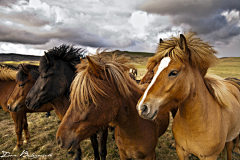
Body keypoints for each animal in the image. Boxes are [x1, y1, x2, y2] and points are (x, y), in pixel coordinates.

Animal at [136, 31, 240, 160]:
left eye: (174, 72)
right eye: (154, 71)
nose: (142, 108)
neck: (195, 125)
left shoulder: (209, 157)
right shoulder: (181, 151)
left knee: (229, 148)